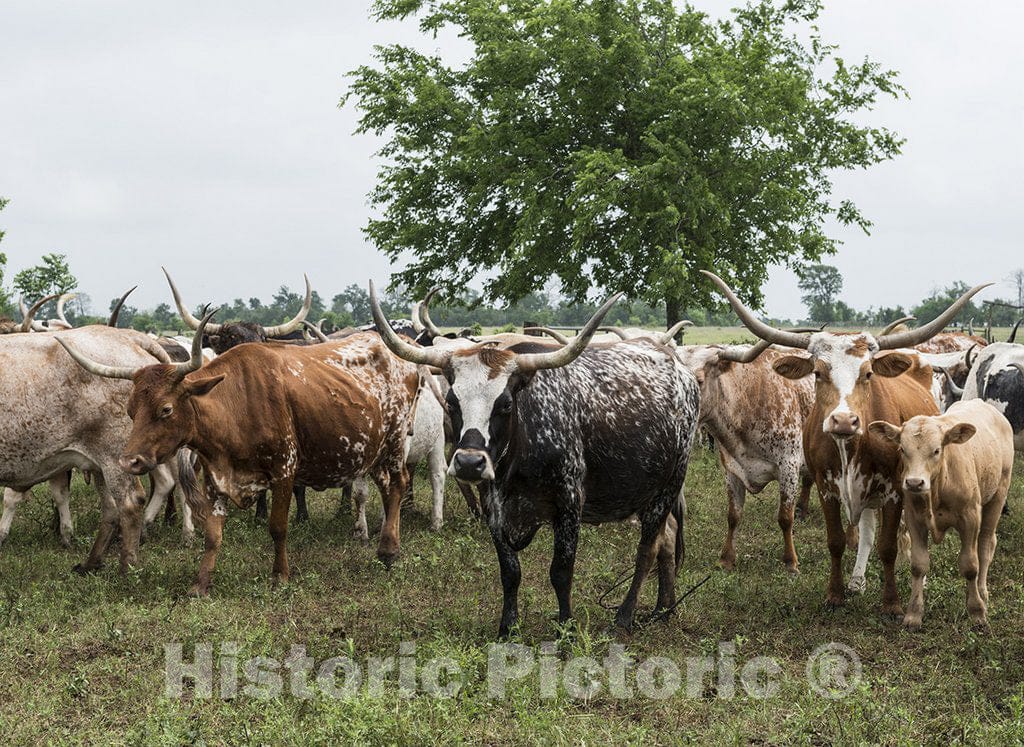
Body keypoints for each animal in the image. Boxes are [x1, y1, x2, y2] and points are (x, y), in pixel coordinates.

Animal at [372, 282, 700, 631]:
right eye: (451, 401)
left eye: (505, 404)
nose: (470, 463)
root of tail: (681, 370)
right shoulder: (495, 508)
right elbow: (510, 572)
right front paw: (507, 627)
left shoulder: (569, 505)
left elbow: (561, 572)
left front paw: (566, 627)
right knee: (668, 540)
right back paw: (664, 608)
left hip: (667, 486)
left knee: (648, 549)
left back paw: (626, 614)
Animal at [704, 272, 991, 610]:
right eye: (817, 373)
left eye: (868, 373)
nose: (843, 421)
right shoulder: (827, 487)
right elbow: (837, 541)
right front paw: (836, 593)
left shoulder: (893, 490)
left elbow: (888, 546)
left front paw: (892, 603)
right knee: (864, 531)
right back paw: (857, 580)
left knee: (904, 531)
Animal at [868, 401, 1011, 631]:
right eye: (902, 449)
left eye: (936, 450)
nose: (914, 482)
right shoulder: (915, 520)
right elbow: (918, 566)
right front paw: (914, 614)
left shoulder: (970, 519)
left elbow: (970, 566)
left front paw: (977, 612)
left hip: (997, 497)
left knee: (985, 545)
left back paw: (982, 592)